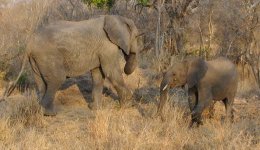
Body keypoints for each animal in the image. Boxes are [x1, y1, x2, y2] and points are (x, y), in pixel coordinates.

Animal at [1, 15, 142, 115]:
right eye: (136, 36)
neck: (117, 18)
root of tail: (29, 44)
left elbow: (98, 75)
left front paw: (95, 109)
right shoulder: (107, 46)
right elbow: (111, 72)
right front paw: (129, 105)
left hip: (36, 60)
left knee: (41, 83)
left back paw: (40, 109)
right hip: (47, 56)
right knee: (56, 79)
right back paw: (50, 113)